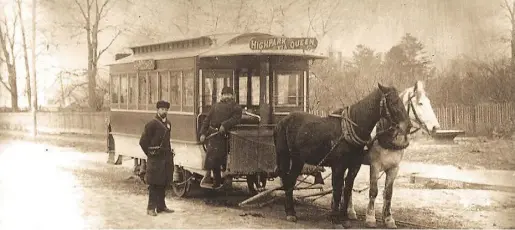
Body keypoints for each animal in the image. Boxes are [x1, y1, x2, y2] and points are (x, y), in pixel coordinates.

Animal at [274, 83, 412, 228]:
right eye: (393, 101)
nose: (408, 126)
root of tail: (282, 121)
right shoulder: (339, 166)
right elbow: (337, 189)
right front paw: (335, 219)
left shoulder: (354, 166)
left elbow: (347, 189)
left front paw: (344, 217)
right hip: (287, 158)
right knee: (288, 180)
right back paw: (290, 212)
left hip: (298, 160)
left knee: (290, 180)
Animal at [346, 80, 440, 228]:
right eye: (420, 103)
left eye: (429, 102)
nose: (435, 127)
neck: (387, 135)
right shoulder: (375, 166)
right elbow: (373, 191)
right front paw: (370, 217)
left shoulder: (394, 168)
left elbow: (388, 193)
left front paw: (388, 218)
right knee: (348, 183)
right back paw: (350, 211)